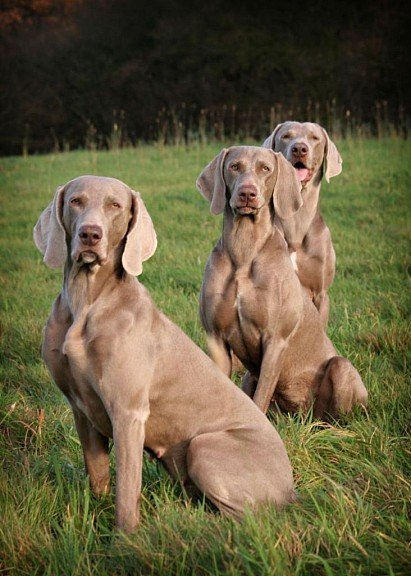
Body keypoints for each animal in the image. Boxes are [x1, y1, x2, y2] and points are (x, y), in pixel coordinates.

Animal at [33, 174, 296, 532]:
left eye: (115, 205)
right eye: (75, 201)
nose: (90, 234)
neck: (86, 300)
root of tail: (292, 489)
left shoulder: (128, 412)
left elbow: (126, 491)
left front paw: (124, 538)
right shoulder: (81, 408)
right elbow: (98, 474)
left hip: (205, 445)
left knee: (248, 519)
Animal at [196, 147, 366, 418]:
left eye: (265, 168)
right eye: (234, 166)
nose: (247, 193)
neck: (244, 250)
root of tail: (302, 413)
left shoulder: (275, 340)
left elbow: (260, 397)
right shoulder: (216, 339)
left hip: (341, 369)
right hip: (249, 378)